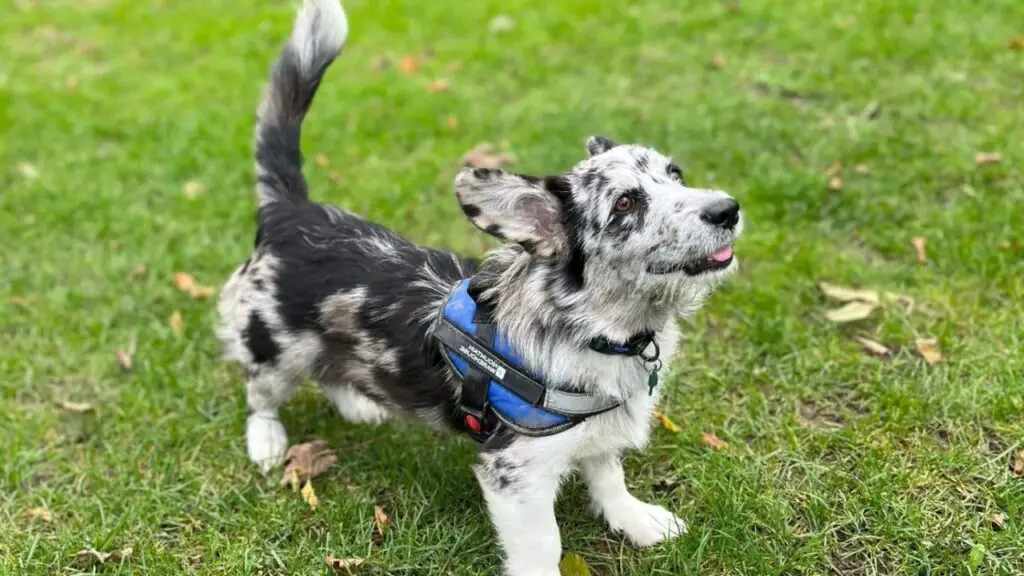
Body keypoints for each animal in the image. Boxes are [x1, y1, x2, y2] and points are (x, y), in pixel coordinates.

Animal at [216, 1, 745, 573]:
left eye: (676, 174)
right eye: (625, 204)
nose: (728, 210)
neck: (606, 328)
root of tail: (291, 211)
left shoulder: (600, 432)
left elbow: (610, 478)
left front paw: (639, 522)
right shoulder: (517, 474)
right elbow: (543, 545)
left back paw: (359, 403)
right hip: (274, 347)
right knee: (260, 392)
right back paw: (268, 443)